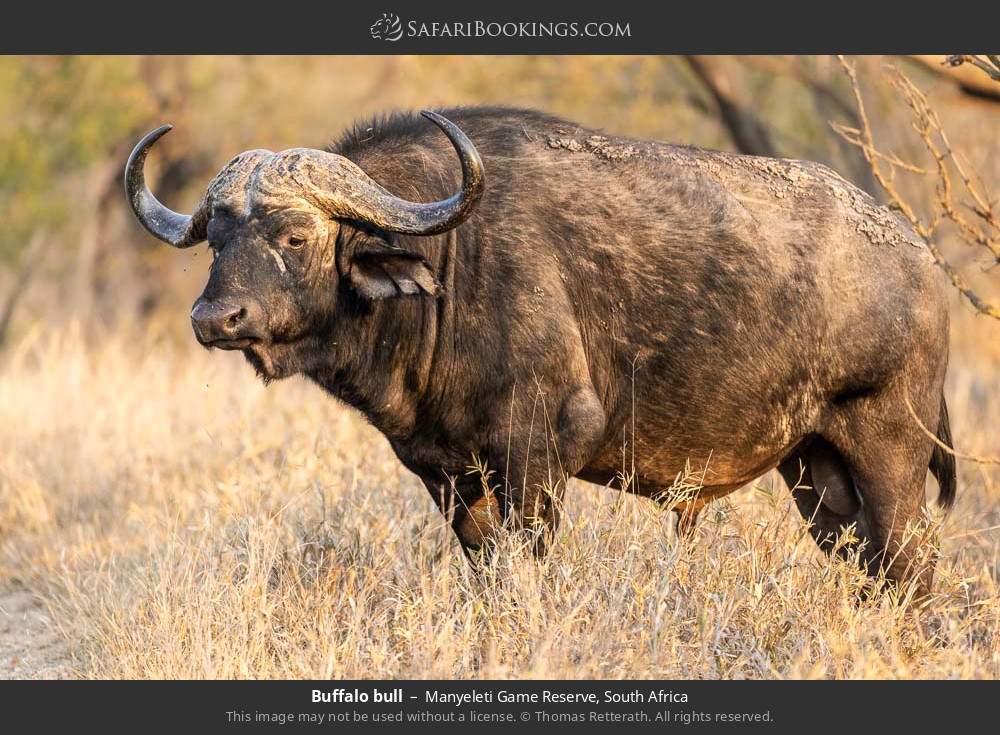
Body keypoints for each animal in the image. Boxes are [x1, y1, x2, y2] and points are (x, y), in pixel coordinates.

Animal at [123, 108, 952, 592]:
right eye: (217, 240)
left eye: (294, 236)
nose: (215, 316)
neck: (455, 261)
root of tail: (921, 259)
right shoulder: (447, 475)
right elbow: (489, 572)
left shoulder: (539, 456)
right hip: (817, 475)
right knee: (871, 564)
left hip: (890, 455)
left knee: (911, 564)